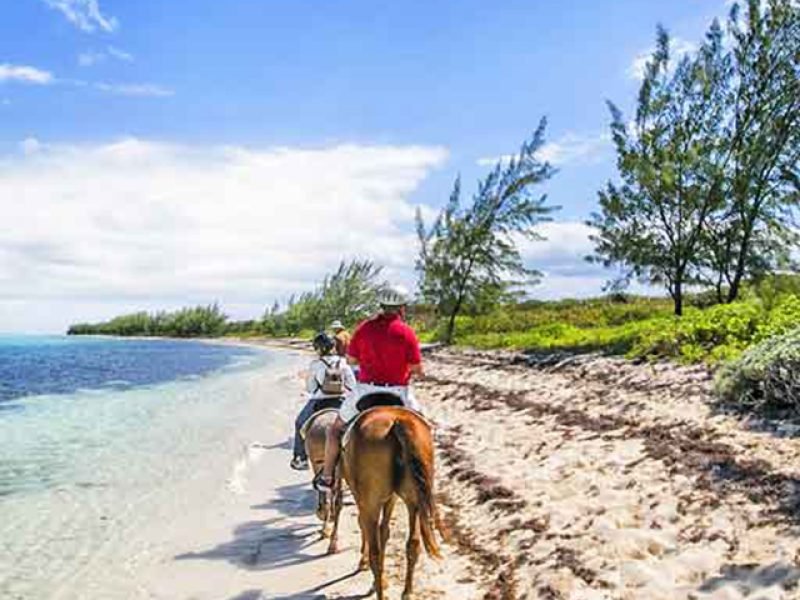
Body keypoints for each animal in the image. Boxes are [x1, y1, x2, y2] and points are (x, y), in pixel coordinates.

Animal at [304, 408, 344, 552]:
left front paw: (322, 514)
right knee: (338, 502)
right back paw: (333, 542)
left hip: (320, 465)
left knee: (329, 498)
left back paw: (326, 532)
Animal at [340, 406, 444, 596]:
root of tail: (398, 422)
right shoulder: (391, 499)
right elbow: (384, 531)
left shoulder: (365, 502)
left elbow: (367, 528)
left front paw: (372, 573)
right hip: (414, 500)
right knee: (413, 544)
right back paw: (407, 592)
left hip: (371, 502)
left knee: (374, 551)